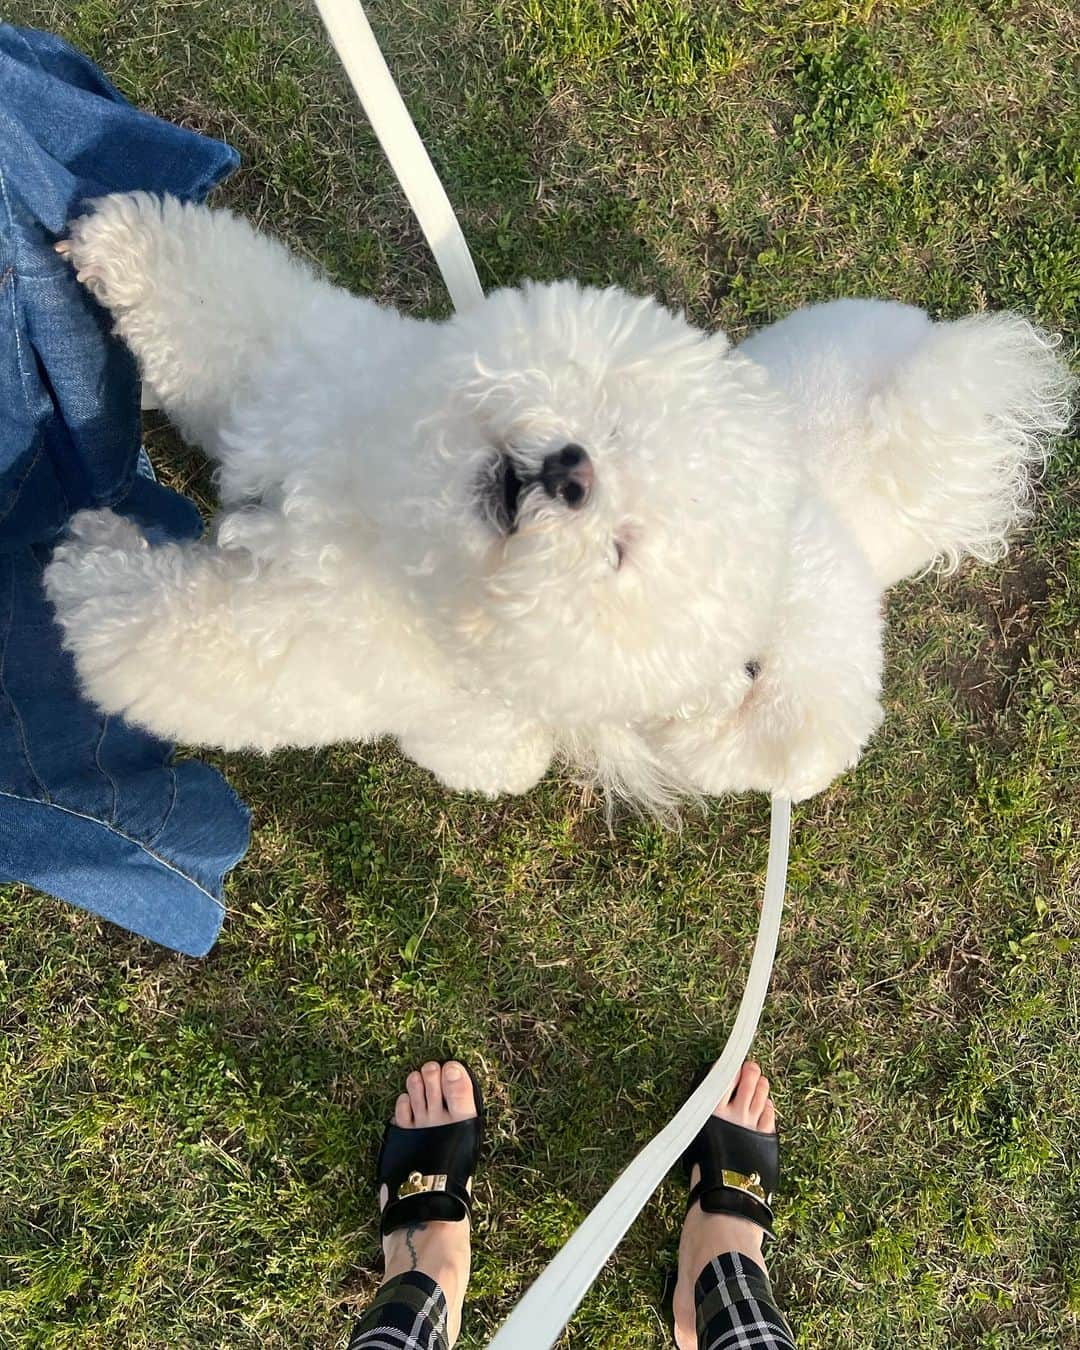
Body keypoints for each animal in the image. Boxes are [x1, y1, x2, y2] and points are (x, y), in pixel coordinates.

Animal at [44, 194, 1069, 804]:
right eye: (613, 424)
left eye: (620, 550)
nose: (572, 471)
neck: (395, 511)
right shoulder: (303, 373)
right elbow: (221, 306)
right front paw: (121, 247)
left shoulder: (316, 648)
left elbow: (183, 642)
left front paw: (88, 570)